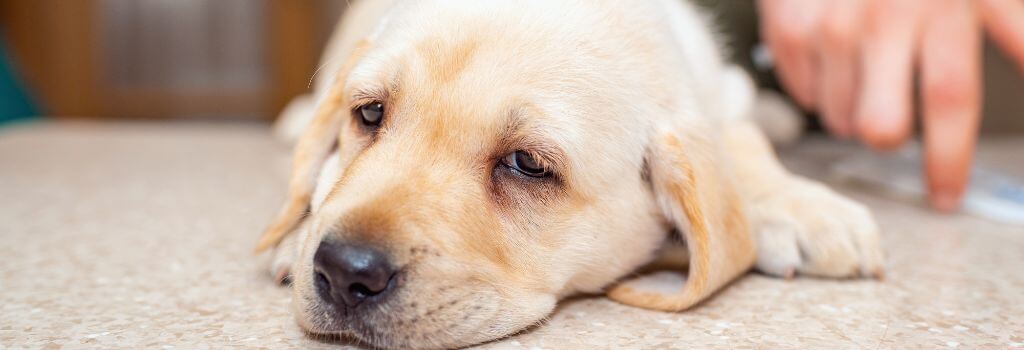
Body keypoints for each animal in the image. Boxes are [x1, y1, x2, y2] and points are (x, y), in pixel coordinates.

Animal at [253, 1, 880, 347]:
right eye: (369, 114)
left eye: (528, 165)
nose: (343, 272)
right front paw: (294, 233)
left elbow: (741, 140)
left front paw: (804, 206)